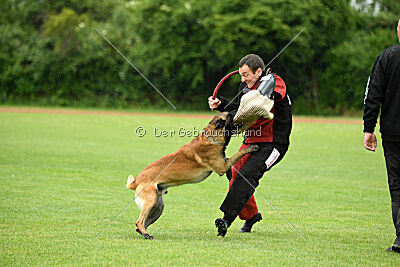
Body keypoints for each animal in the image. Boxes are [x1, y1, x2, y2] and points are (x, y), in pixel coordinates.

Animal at [126, 112, 260, 240]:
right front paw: (250, 147)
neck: (212, 136)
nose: (239, 113)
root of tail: (136, 181)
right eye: (231, 115)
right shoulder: (221, 166)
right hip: (151, 201)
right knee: (139, 222)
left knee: (141, 224)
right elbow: (237, 154)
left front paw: (230, 173)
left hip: (158, 207)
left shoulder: (223, 163)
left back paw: (145, 233)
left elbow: (228, 159)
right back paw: (147, 234)